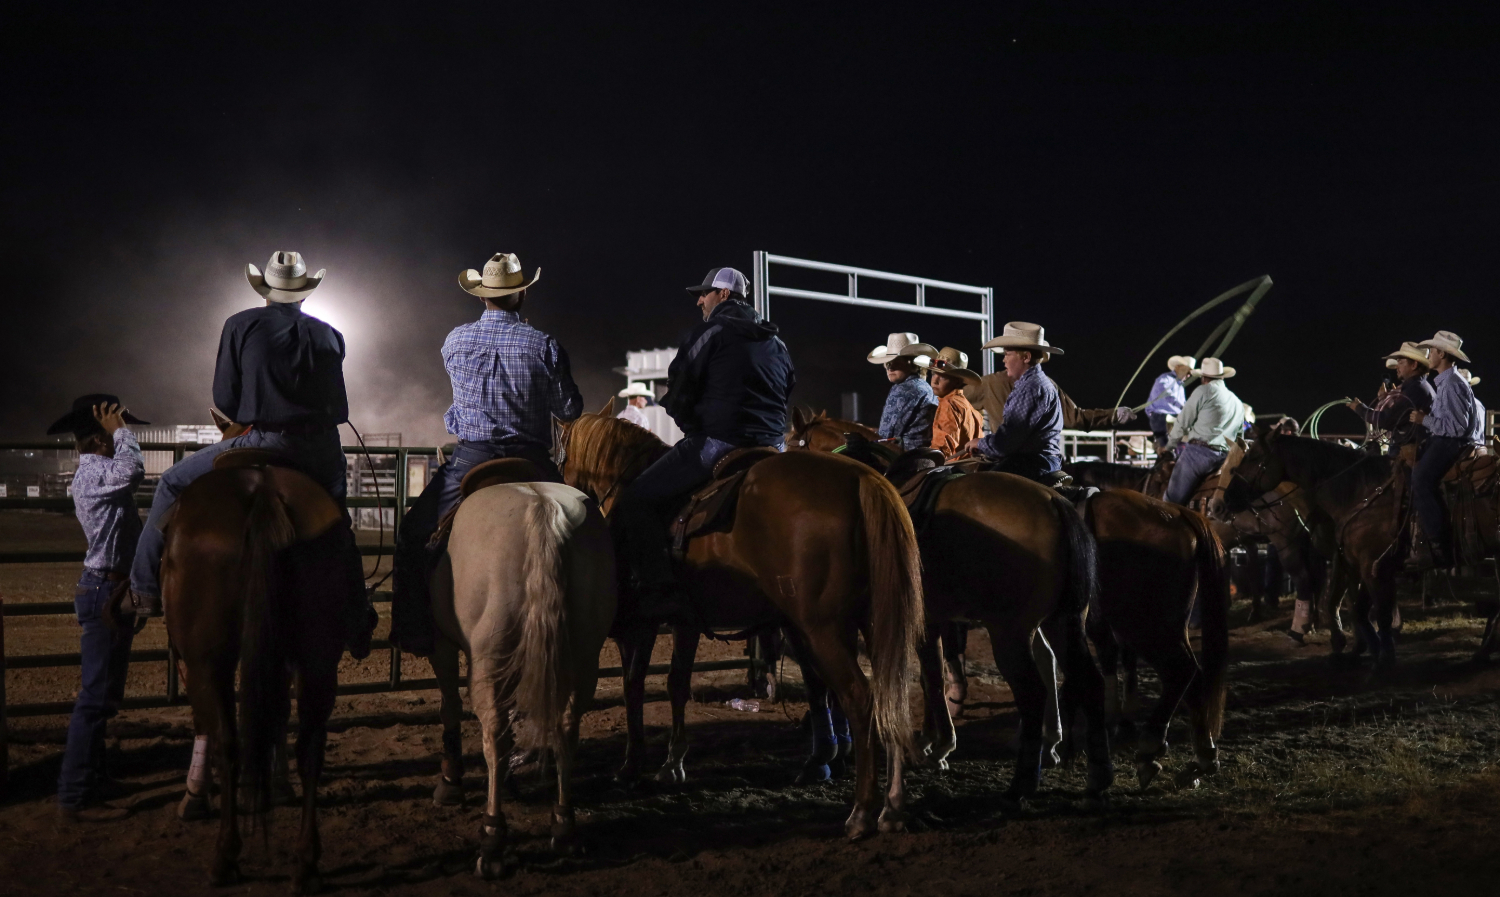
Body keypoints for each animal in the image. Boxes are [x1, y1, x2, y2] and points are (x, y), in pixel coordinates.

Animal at [162, 462, 354, 894]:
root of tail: (263, 493)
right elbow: (276, 717)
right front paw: (274, 787)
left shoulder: (193, 663)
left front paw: (195, 797)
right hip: (319, 659)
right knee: (310, 749)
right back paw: (305, 863)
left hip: (209, 661)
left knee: (228, 743)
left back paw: (225, 856)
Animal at [423, 477, 615, 876]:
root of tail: (543, 511)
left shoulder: (442, 644)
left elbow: (450, 708)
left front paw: (450, 781)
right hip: (583, 659)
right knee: (567, 730)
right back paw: (564, 827)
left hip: (489, 659)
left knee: (493, 736)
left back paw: (492, 839)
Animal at [552, 405, 924, 840]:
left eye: (559, 459)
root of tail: (863, 481)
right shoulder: (686, 621)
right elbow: (676, 683)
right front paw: (672, 763)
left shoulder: (640, 627)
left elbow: (633, 686)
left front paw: (632, 767)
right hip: (874, 623)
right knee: (890, 696)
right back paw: (892, 808)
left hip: (824, 628)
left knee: (859, 697)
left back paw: (861, 812)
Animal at [780, 411, 1122, 804]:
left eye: (791, 446)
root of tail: (1056, 503)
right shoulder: (930, 619)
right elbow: (931, 673)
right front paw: (934, 741)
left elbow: (925, 675)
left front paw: (936, 744)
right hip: (1064, 622)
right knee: (1086, 679)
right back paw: (1093, 769)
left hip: (1011, 632)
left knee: (1034, 690)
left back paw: (1023, 780)